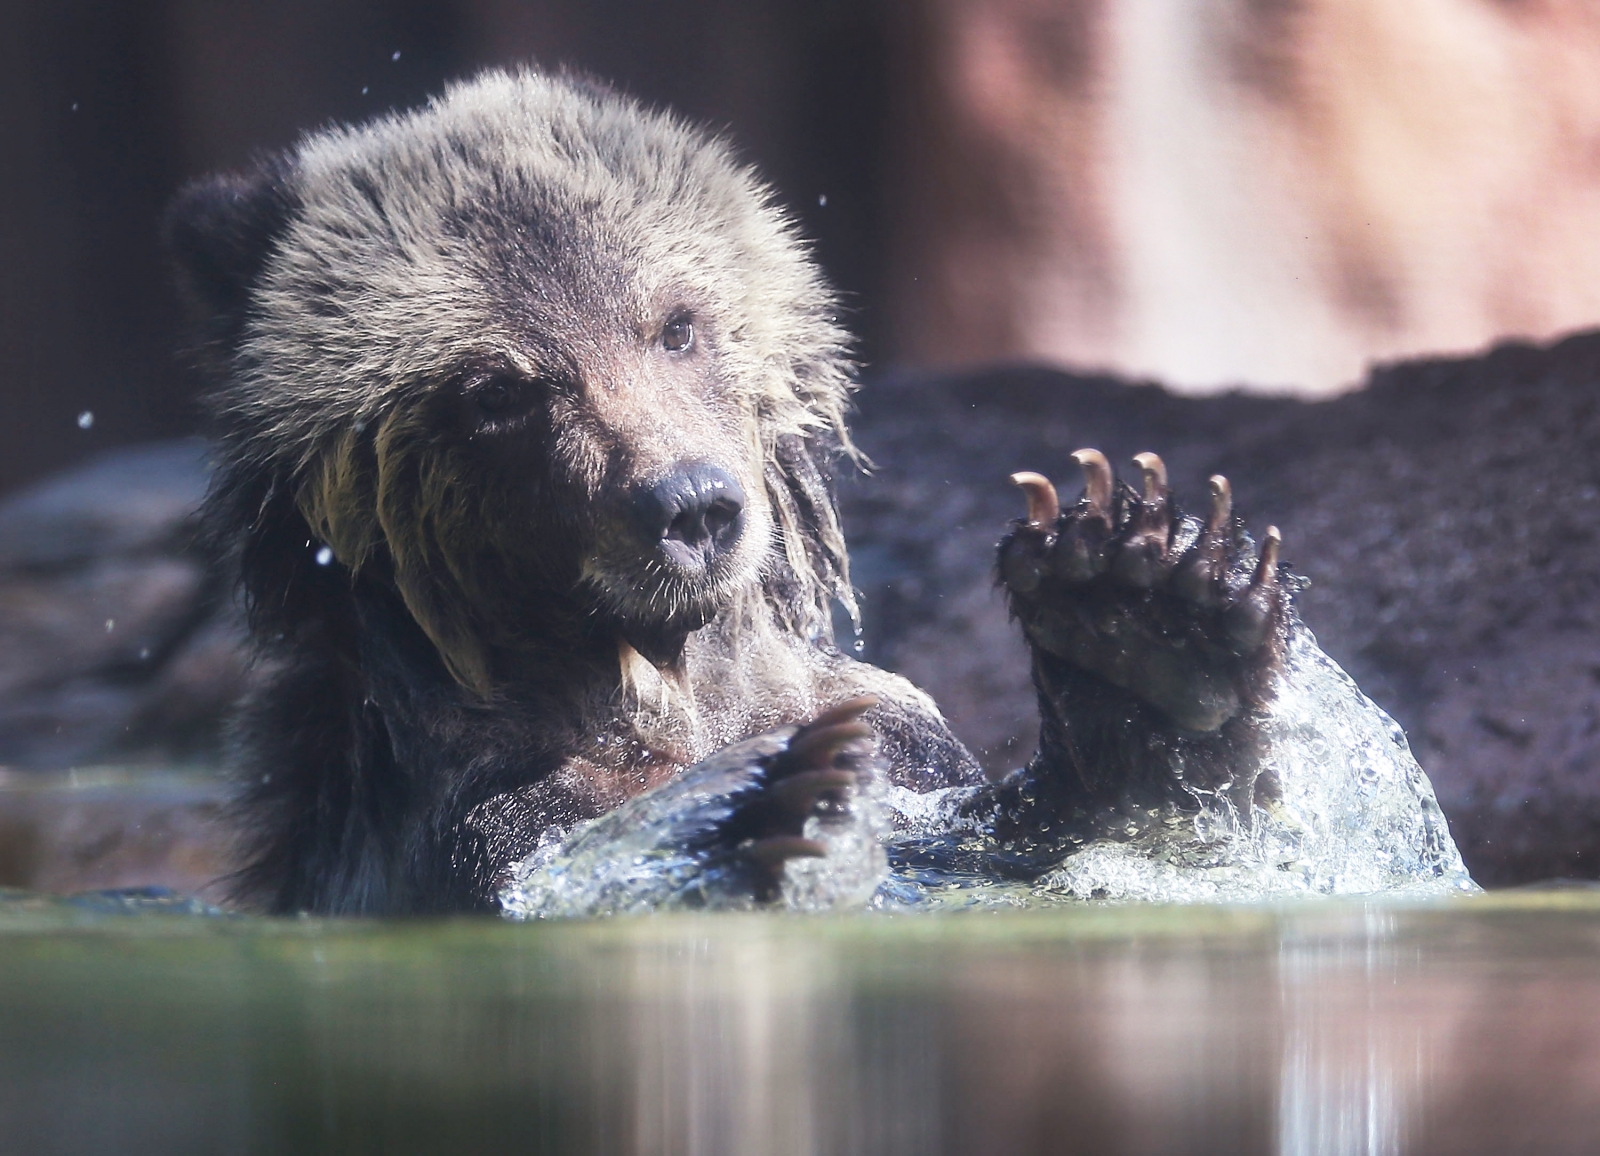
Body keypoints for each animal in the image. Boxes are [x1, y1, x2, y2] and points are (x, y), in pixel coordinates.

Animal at [165, 68, 1465, 915]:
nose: (689, 507)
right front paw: (777, 805)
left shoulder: (904, 738)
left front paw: (1144, 613)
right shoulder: (470, 826)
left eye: (674, 322)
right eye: (499, 389)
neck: (661, 684)